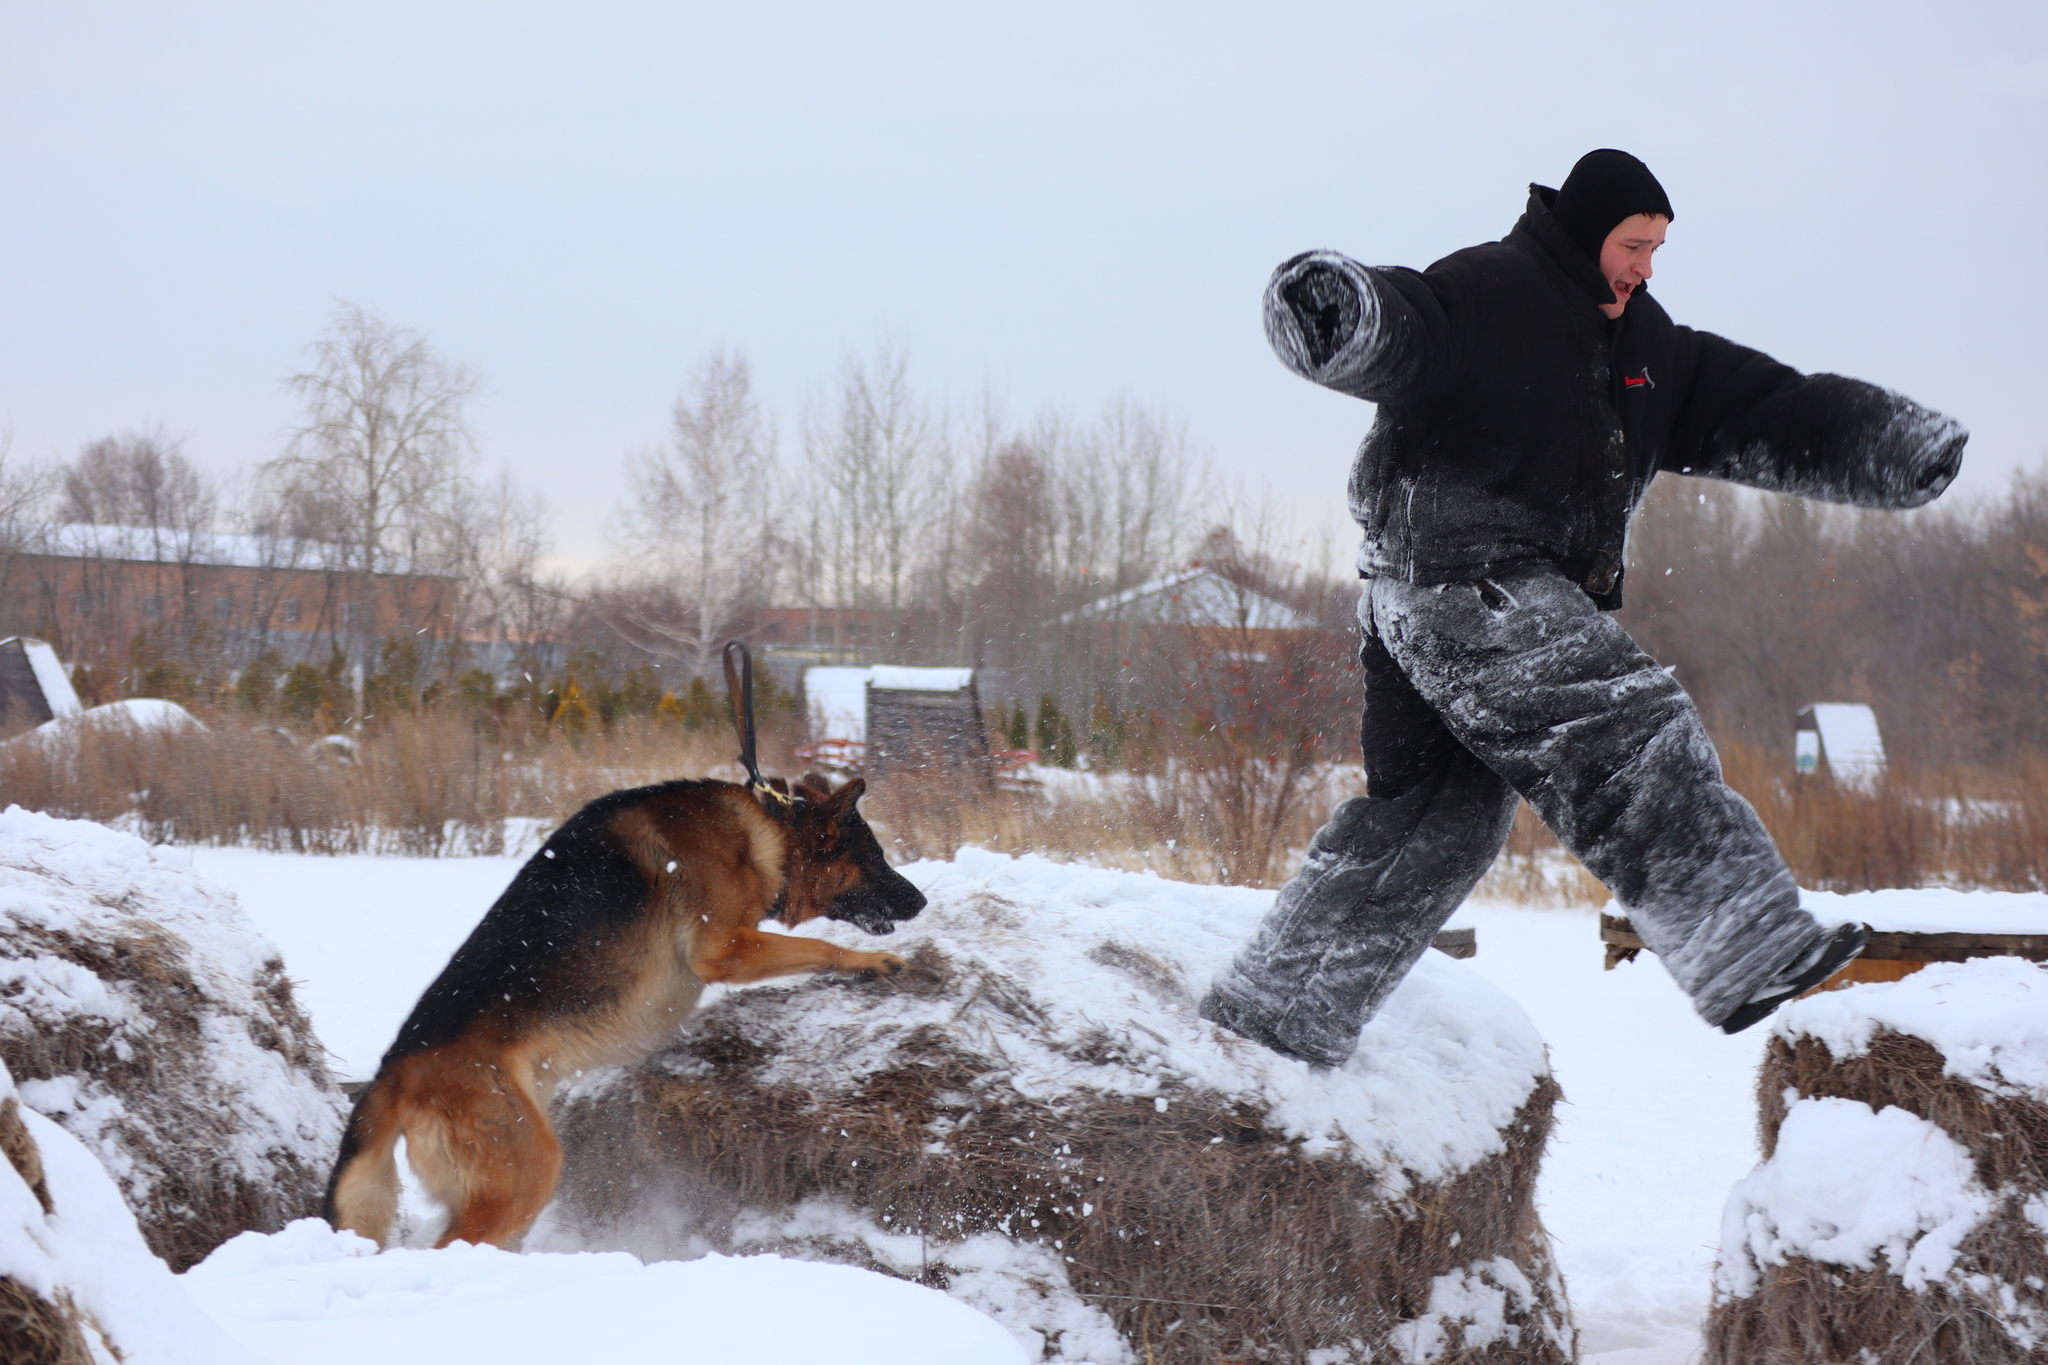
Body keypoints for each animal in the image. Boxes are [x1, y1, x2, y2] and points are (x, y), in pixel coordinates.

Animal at [321, 650, 929, 1252]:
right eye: (875, 858)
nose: (921, 901)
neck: (770, 827)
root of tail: (393, 1073)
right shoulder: (723, 948)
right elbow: (818, 943)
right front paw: (874, 964)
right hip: (527, 1169)